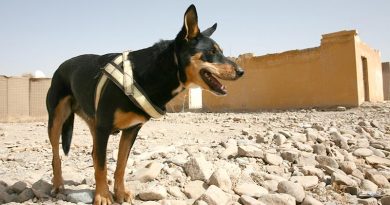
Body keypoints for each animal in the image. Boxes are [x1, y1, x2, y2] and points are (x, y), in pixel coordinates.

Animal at [46, 4, 244, 205]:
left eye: (221, 51)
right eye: (212, 52)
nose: (241, 71)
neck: (150, 73)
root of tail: (60, 66)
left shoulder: (131, 130)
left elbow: (121, 164)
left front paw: (119, 192)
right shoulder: (104, 128)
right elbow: (102, 166)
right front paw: (102, 195)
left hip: (93, 124)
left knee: (94, 153)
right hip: (56, 120)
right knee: (57, 155)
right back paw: (58, 184)